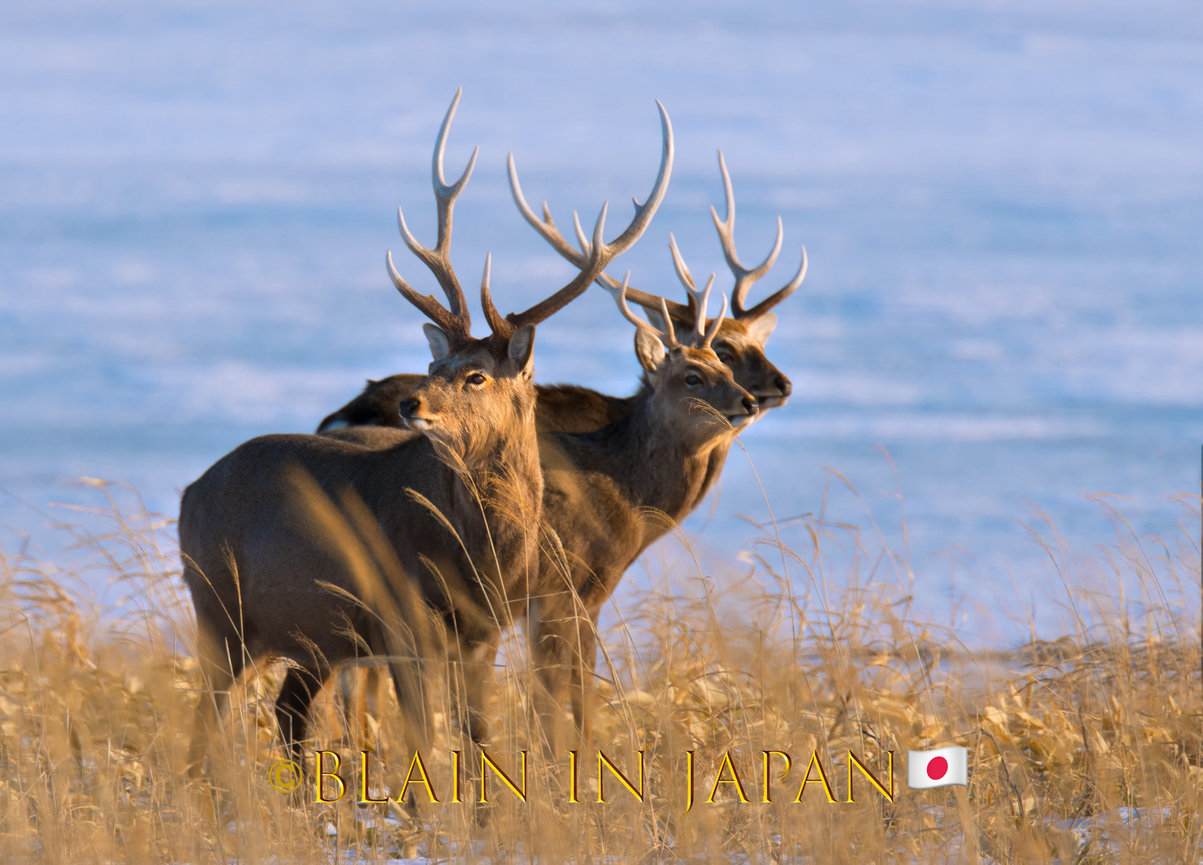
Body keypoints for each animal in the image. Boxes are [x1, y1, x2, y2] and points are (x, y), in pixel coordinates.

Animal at [178, 89, 673, 770]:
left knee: (286, 715)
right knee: (206, 722)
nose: (411, 403)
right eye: (436, 366)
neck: (481, 555)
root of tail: (187, 495)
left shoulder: (483, 633)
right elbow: (423, 737)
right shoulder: (403, 619)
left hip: (304, 635)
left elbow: (478, 734)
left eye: (476, 375)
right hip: (219, 608)